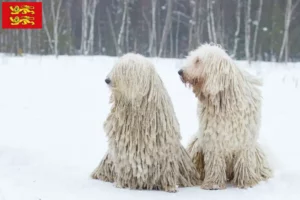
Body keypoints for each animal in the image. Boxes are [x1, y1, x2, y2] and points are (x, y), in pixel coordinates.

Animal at [177, 43, 274, 190]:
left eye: (198, 61)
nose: (180, 71)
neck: (224, 100)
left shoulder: (245, 139)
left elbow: (244, 160)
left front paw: (246, 183)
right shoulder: (213, 138)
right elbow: (215, 160)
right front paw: (213, 184)